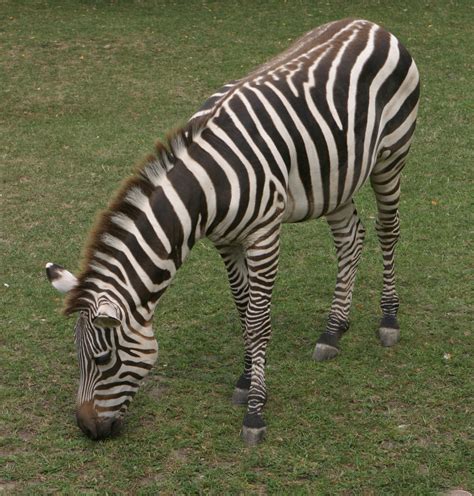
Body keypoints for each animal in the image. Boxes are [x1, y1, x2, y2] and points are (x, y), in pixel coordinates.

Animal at [46, 18, 420, 446]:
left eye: (103, 358)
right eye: (78, 357)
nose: (86, 428)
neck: (206, 189)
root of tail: (369, 24)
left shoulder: (264, 237)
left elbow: (258, 322)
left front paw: (255, 411)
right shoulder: (226, 242)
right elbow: (243, 311)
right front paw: (245, 379)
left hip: (392, 154)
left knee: (388, 230)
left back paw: (388, 320)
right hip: (336, 175)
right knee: (349, 239)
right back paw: (332, 330)